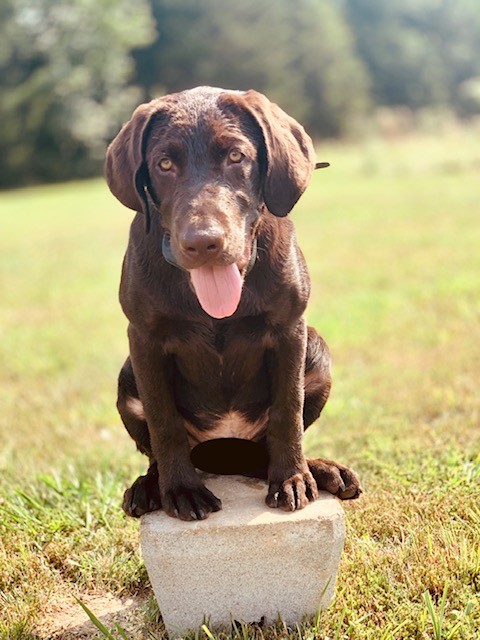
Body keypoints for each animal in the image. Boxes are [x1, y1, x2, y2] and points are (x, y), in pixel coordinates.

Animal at [105, 87, 360, 520]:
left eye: (236, 156)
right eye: (164, 164)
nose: (203, 242)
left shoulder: (290, 329)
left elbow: (287, 410)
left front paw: (292, 477)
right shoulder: (143, 339)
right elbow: (164, 421)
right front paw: (181, 489)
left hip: (317, 351)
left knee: (266, 448)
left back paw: (321, 470)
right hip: (127, 375)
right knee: (157, 448)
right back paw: (150, 486)